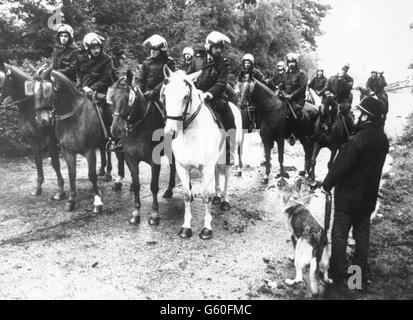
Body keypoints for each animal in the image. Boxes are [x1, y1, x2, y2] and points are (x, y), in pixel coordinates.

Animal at [0, 60, 65, 199]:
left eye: (2, 81)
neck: (30, 108)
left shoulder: (50, 139)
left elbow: (55, 163)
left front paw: (60, 191)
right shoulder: (32, 139)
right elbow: (38, 162)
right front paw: (38, 189)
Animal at [31, 71, 110, 214]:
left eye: (47, 89)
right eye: (33, 90)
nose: (42, 120)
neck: (74, 117)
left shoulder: (89, 151)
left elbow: (91, 175)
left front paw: (97, 202)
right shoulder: (67, 152)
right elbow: (71, 174)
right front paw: (71, 200)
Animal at [108, 70, 175, 225]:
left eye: (128, 99)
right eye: (112, 99)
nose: (115, 129)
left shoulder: (154, 161)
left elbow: (153, 186)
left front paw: (154, 214)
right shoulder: (131, 160)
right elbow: (137, 184)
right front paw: (135, 213)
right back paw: (169, 190)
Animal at [162, 66, 241, 239]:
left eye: (186, 96)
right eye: (165, 95)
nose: (170, 133)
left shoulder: (206, 167)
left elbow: (206, 196)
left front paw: (206, 228)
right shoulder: (182, 167)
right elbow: (186, 195)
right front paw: (186, 227)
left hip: (226, 157)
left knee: (226, 176)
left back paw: (224, 200)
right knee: (218, 175)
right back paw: (218, 197)